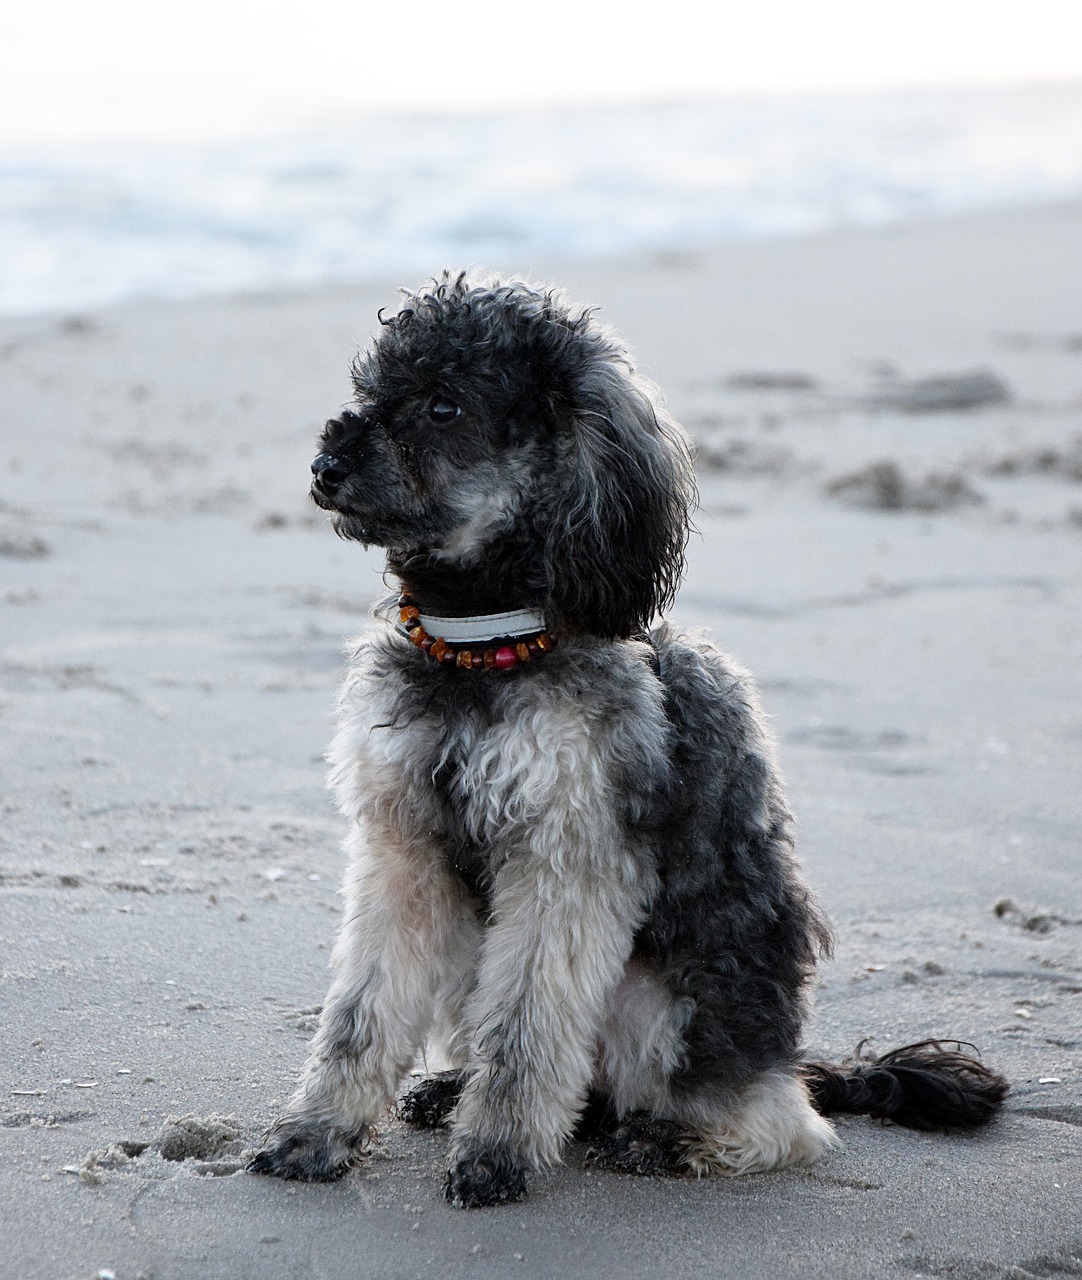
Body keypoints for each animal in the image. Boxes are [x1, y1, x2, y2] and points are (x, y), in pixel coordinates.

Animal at [250, 272, 1003, 1208]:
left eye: (443, 404)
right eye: (371, 387)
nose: (325, 468)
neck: (483, 643)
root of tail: (793, 1064)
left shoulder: (565, 862)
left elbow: (526, 1031)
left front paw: (495, 1153)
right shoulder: (404, 849)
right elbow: (359, 1015)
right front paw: (316, 1132)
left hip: (667, 1005)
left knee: (775, 1123)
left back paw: (669, 1136)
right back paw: (450, 1089)